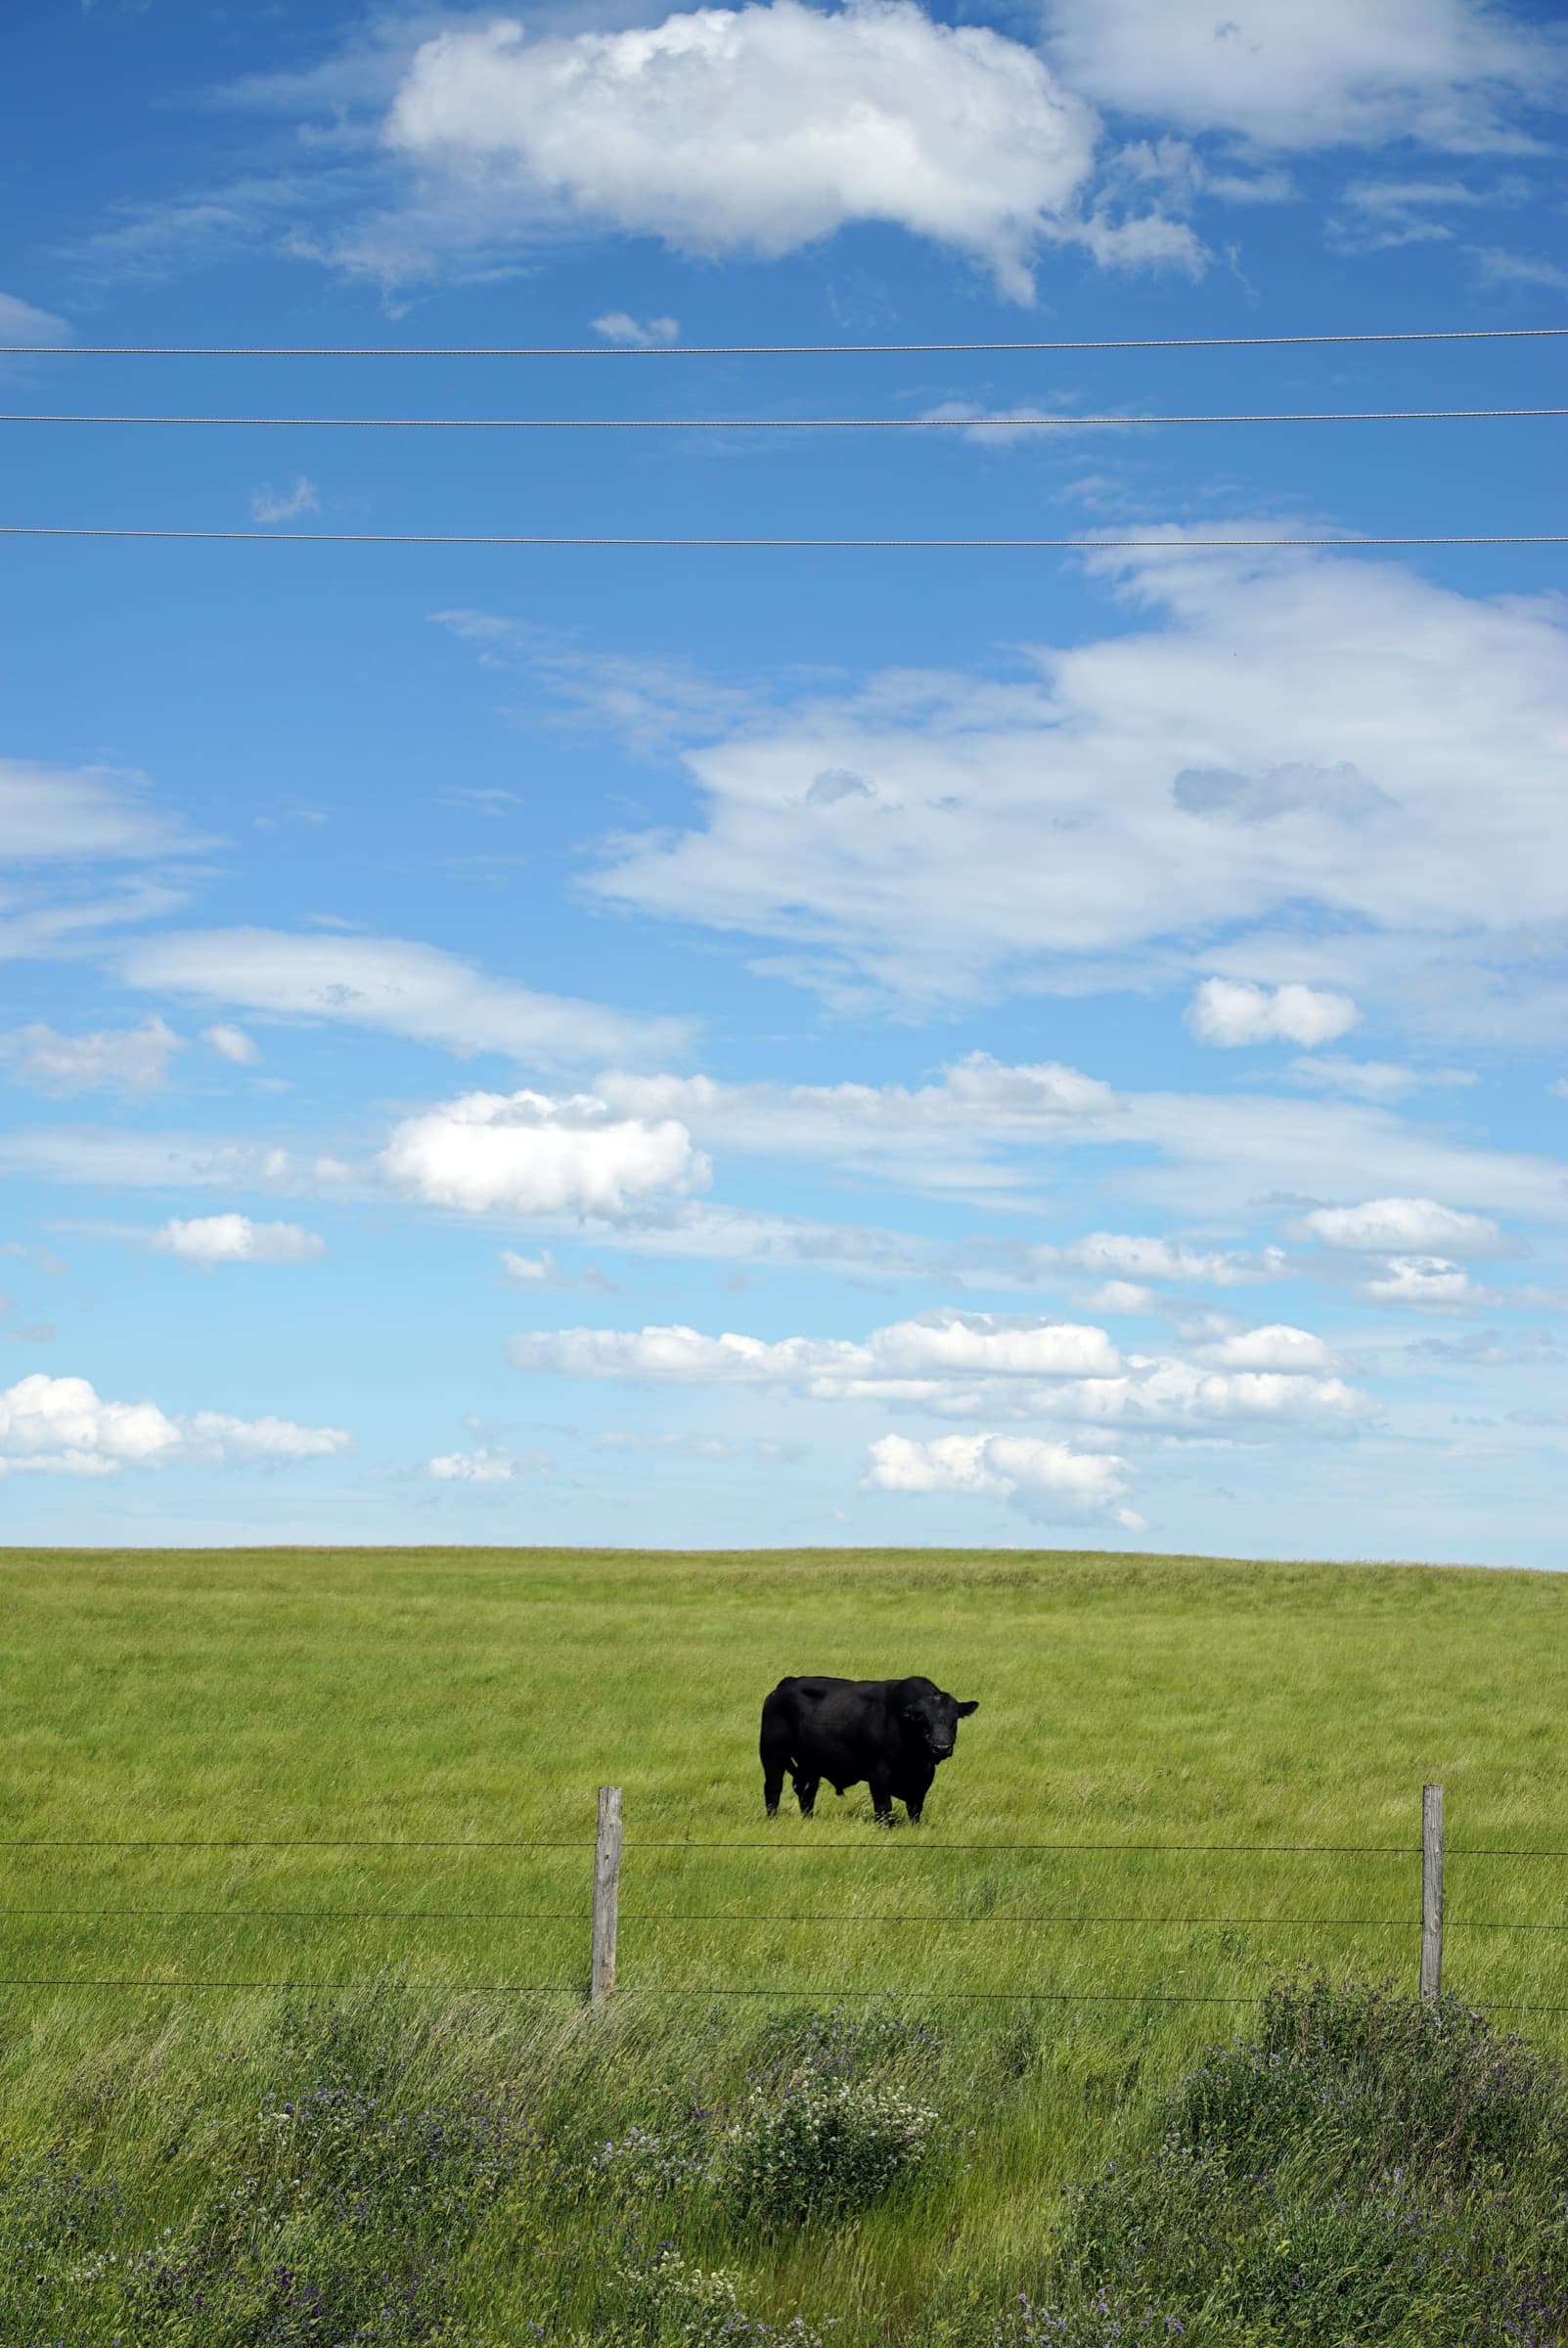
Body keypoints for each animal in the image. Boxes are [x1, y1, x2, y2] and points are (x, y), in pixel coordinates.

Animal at [759, 1674, 979, 1826]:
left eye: (954, 1719)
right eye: (923, 1719)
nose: (941, 1747)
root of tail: (786, 1684)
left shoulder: (924, 1776)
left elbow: (915, 1809)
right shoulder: (879, 1773)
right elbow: (884, 1807)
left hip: (810, 1764)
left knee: (806, 1792)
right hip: (772, 1754)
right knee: (773, 1788)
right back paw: (772, 1819)